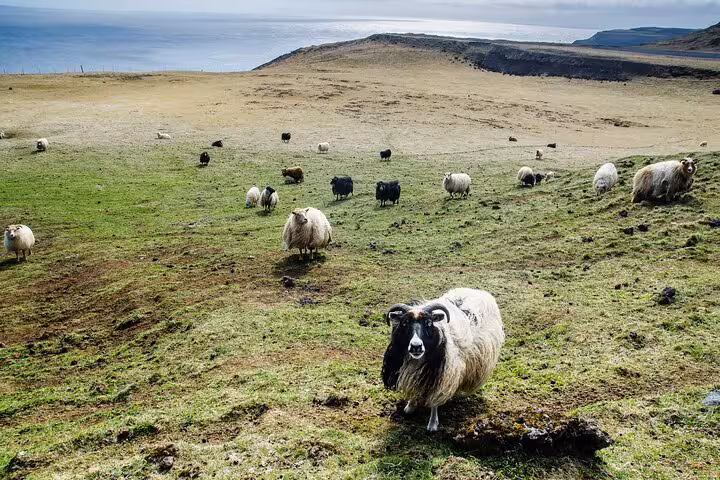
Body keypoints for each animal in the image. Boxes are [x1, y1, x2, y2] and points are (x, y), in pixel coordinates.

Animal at [382, 287, 505, 432]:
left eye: (429, 323)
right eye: (404, 323)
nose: (416, 346)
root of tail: (476, 290)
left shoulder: (443, 374)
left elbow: (435, 401)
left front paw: (432, 424)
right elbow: (415, 387)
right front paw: (410, 407)